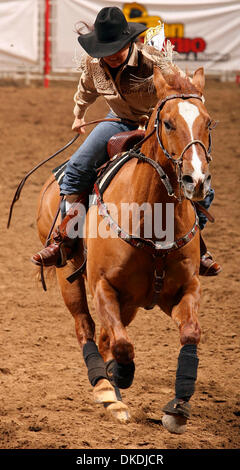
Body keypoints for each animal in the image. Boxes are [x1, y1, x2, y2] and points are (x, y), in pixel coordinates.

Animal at [35, 65, 214, 434]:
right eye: (168, 123)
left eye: (208, 122)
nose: (197, 180)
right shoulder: (104, 286)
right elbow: (121, 344)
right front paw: (120, 377)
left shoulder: (185, 288)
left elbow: (190, 333)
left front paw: (178, 407)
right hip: (66, 275)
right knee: (88, 329)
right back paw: (107, 391)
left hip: (129, 304)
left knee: (105, 336)